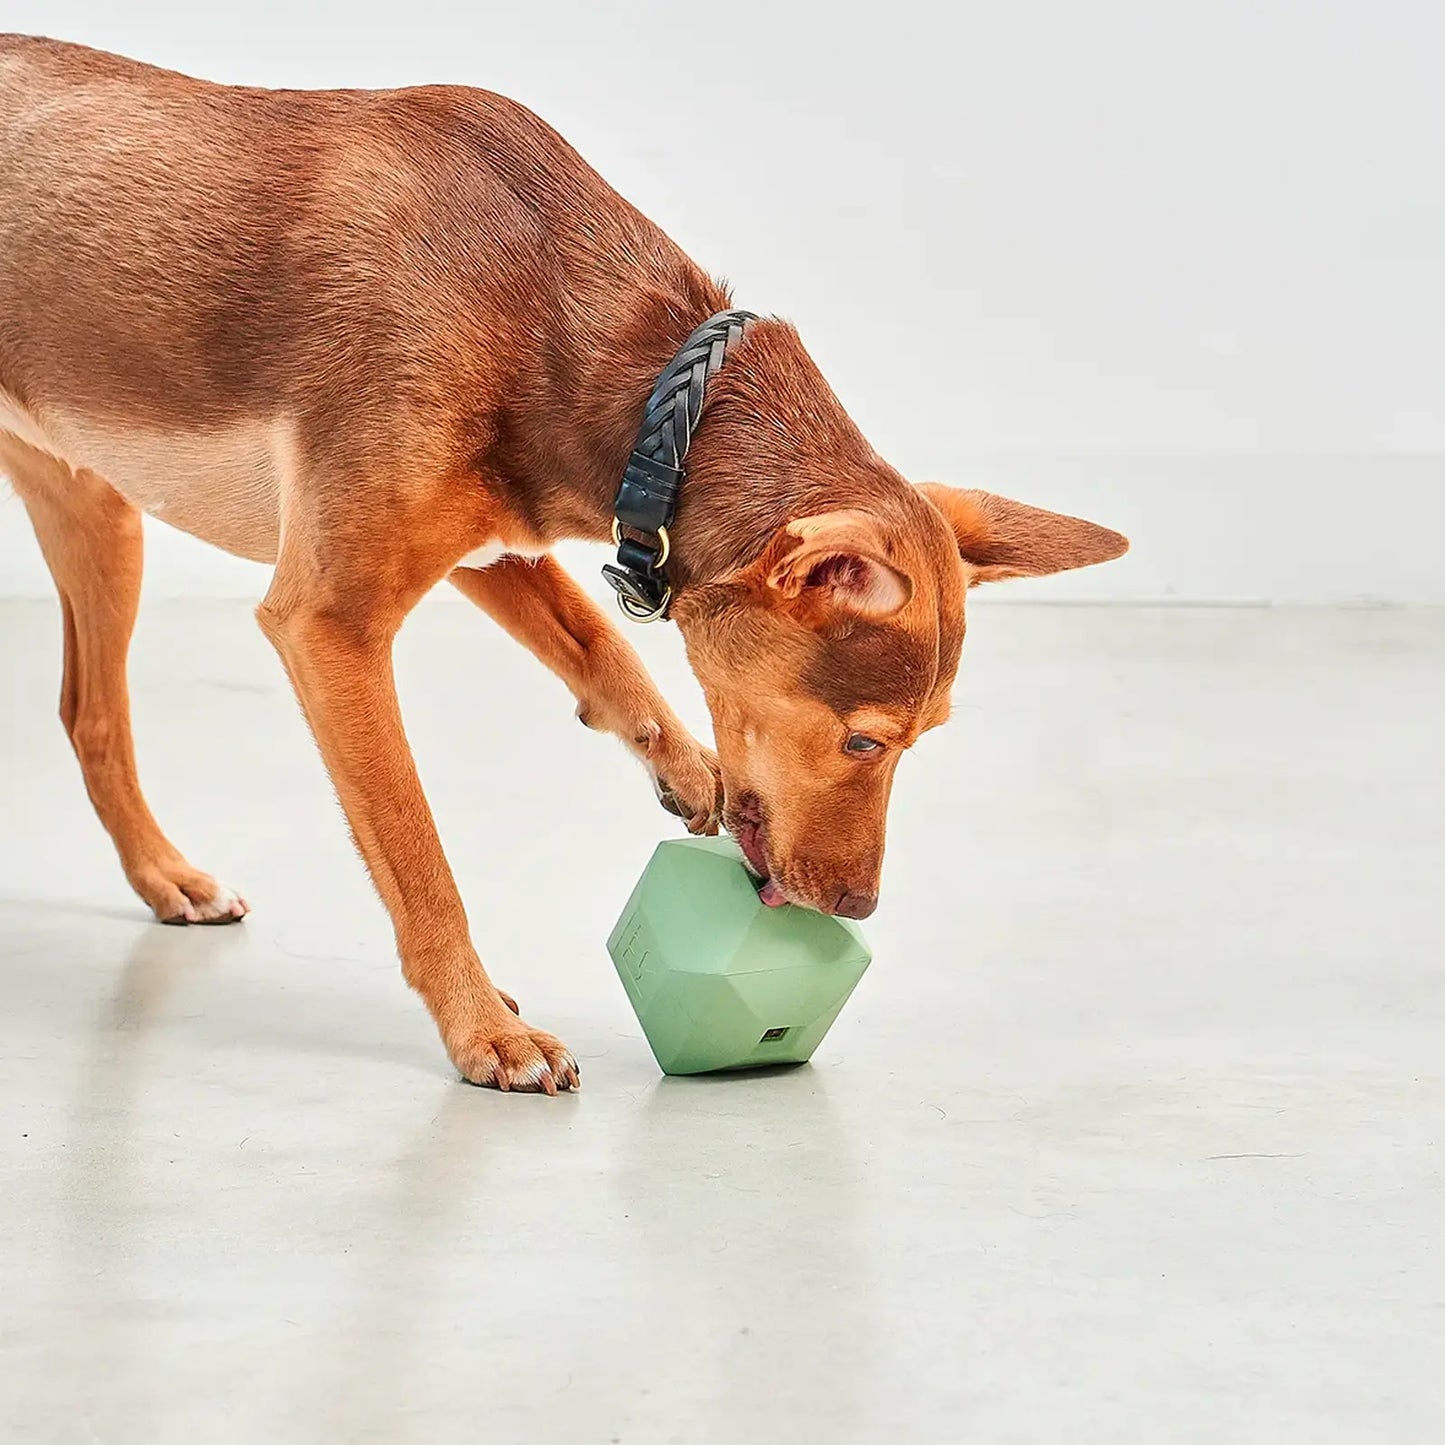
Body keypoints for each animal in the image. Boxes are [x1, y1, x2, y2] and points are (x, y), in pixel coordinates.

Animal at [0, 36, 1127, 1092]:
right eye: (862, 742)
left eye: (924, 738)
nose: (857, 905)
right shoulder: (329, 621)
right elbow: (418, 855)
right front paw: (482, 1027)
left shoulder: (495, 538)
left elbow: (599, 647)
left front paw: (684, 763)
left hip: (95, 507)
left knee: (89, 712)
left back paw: (165, 876)